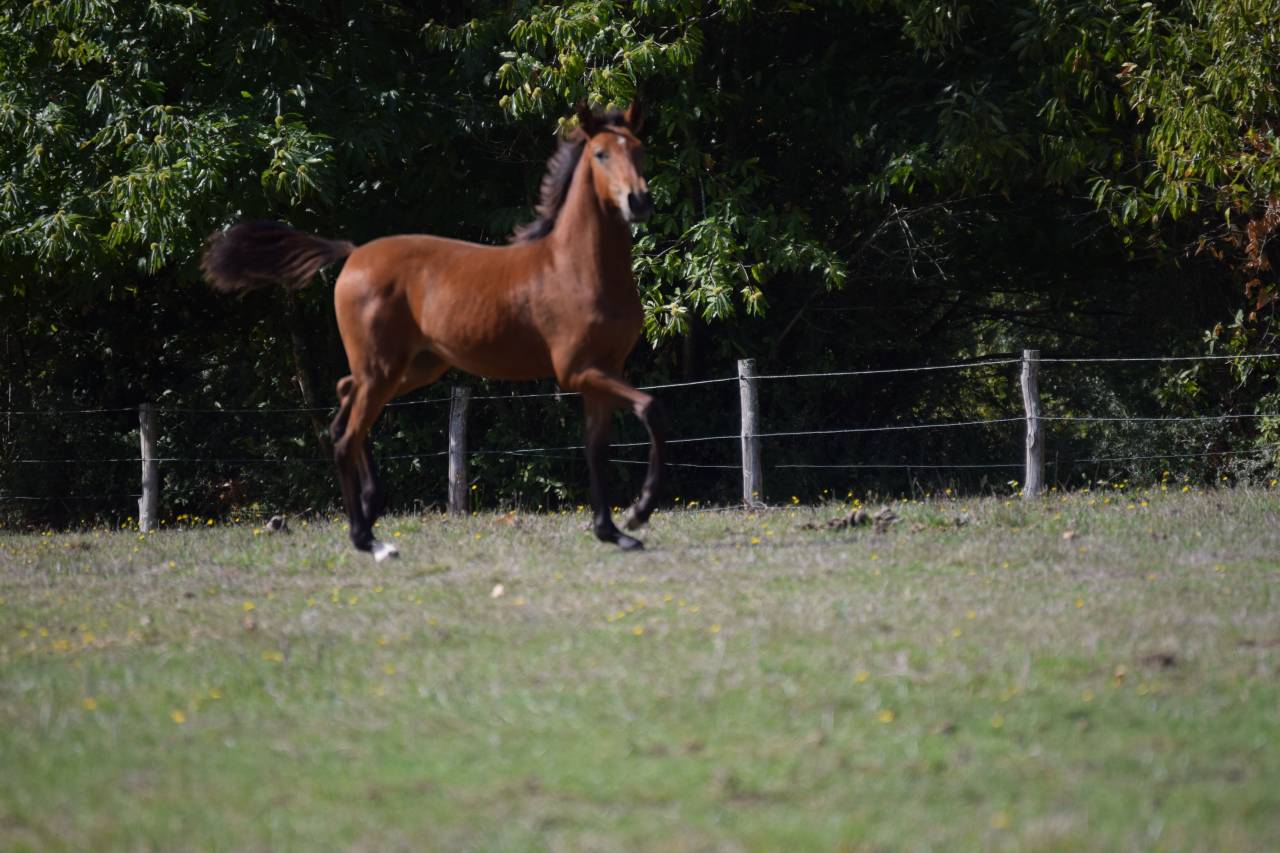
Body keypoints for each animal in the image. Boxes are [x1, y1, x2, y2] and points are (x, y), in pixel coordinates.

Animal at [202, 102, 666, 561]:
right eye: (601, 154)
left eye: (639, 149)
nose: (638, 201)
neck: (579, 268)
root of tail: (353, 254)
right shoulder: (578, 371)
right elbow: (649, 408)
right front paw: (638, 513)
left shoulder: (603, 371)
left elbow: (597, 449)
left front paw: (612, 532)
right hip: (385, 370)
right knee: (347, 435)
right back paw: (367, 539)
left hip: (411, 368)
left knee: (345, 397)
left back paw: (370, 506)